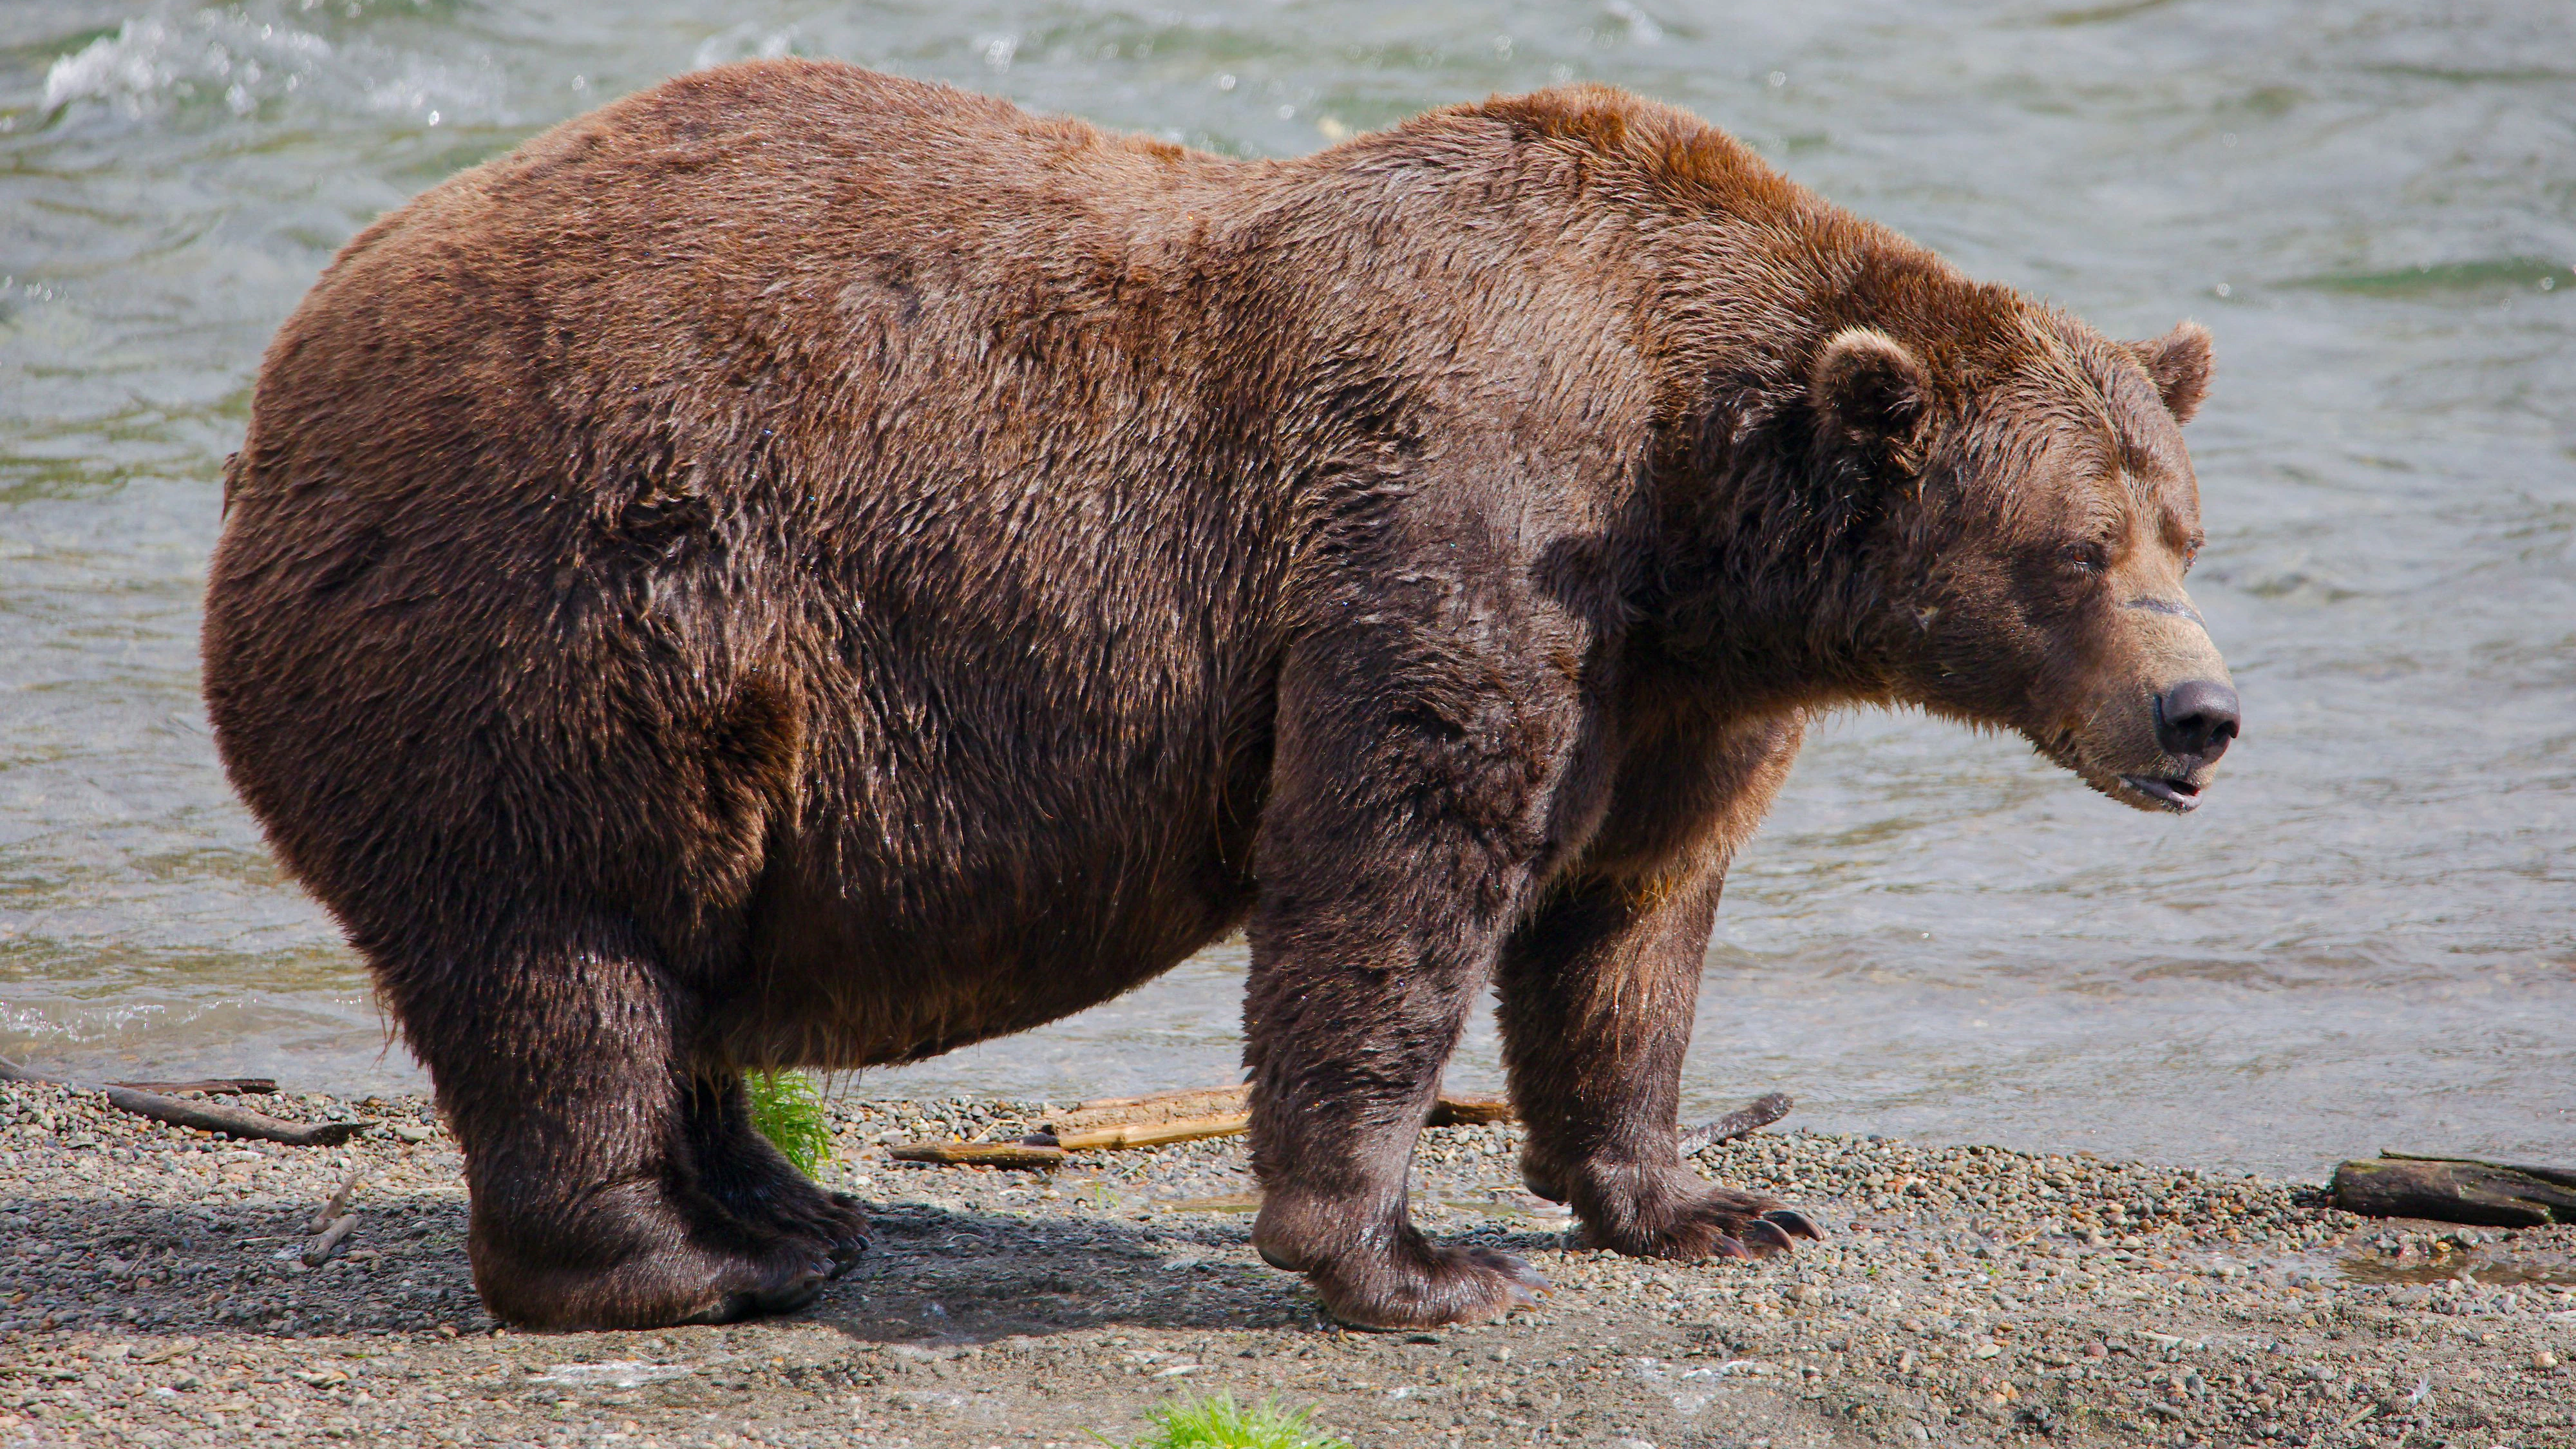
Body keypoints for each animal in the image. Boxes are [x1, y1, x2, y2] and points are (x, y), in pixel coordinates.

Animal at [201, 61, 2239, 1331]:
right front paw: (1412, 1261)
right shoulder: (1463, 509)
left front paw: (1706, 1203)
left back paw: (789, 1206)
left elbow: (1628, 920)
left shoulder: (1675, 682)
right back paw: (686, 1261)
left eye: (2183, 528)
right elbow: (1395, 861)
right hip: (561, 613)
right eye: (2075, 550)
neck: (1696, 490)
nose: (2199, 716)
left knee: (672, 957)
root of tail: (284, 373)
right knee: (568, 953)